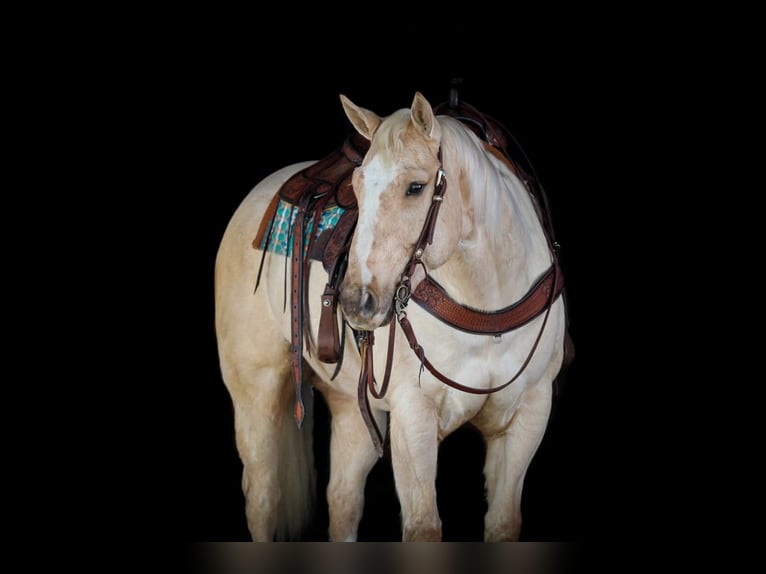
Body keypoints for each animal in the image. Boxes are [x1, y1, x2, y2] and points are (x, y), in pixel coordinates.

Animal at [214, 91, 572, 541]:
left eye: (416, 188)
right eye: (356, 186)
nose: (355, 302)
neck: (486, 308)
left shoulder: (528, 417)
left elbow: (504, 522)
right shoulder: (412, 418)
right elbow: (423, 527)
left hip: (350, 407)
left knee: (343, 501)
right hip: (256, 393)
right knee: (263, 498)